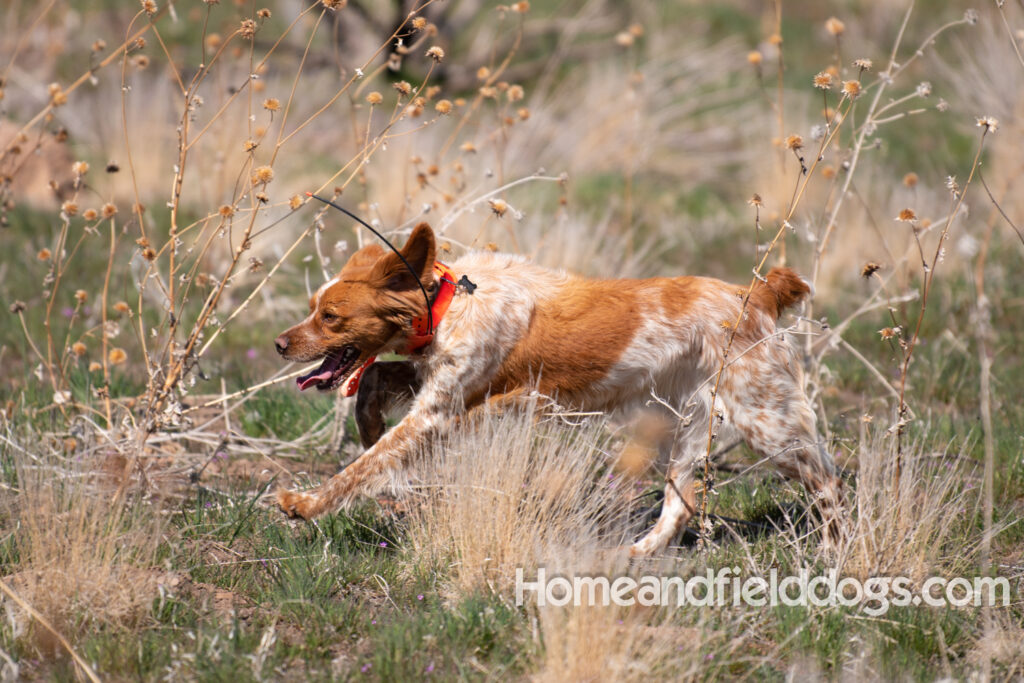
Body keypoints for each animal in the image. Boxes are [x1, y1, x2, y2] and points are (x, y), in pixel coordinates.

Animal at [272, 224, 839, 557]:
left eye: (330, 317)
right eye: (313, 308)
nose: (279, 344)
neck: (451, 302)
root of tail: (757, 295)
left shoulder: (444, 409)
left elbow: (365, 466)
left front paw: (305, 503)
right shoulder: (441, 384)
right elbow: (373, 382)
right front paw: (367, 426)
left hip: (768, 422)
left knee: (828, 480)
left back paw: (837, 553)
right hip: (690, 425)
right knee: (680, 504)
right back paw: (637, 555)